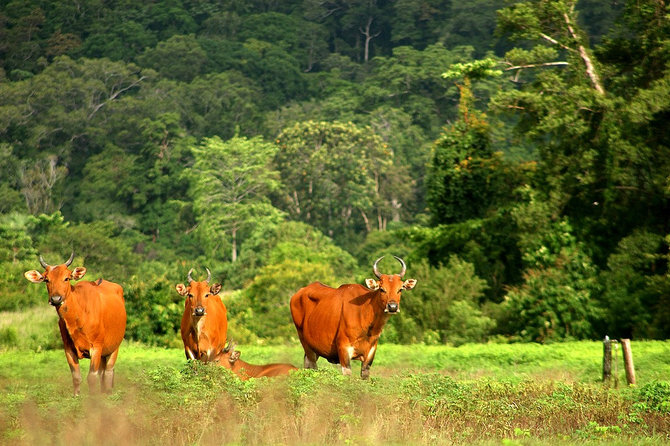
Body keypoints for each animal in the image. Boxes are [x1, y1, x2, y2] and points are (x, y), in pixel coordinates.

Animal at [24, 253, 127, 396]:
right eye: (46, 279)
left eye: (66, 278)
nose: (56, 299)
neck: (79, 316)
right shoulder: (68, 349)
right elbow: (76, 377)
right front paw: (77, 396)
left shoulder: (96, 347)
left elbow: (92, 377)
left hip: (114, 347)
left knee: (108, 373)